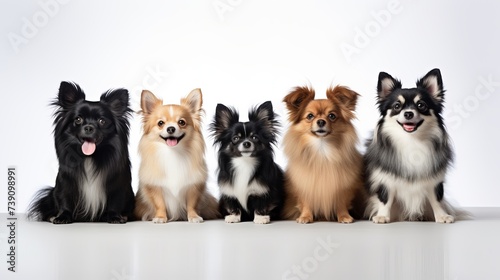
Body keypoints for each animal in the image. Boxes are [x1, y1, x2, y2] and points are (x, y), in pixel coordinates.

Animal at [27, 82, 135, 224]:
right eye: (78, 119)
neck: (90, 157)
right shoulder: (66, 183)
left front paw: (114, 216)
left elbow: (115, 201)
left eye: (102, 121)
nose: (88, 127)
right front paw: (63, 216)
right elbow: (65, 199)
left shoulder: (117, 185)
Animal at [366, 68, 458, 223]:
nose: (408, 113)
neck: (411, 140)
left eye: (421, 105)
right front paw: (383, 216)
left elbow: (436, 199)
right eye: (397, 106)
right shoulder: (385, 179)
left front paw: (442, 216)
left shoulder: (434, 180)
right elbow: (386, 199)